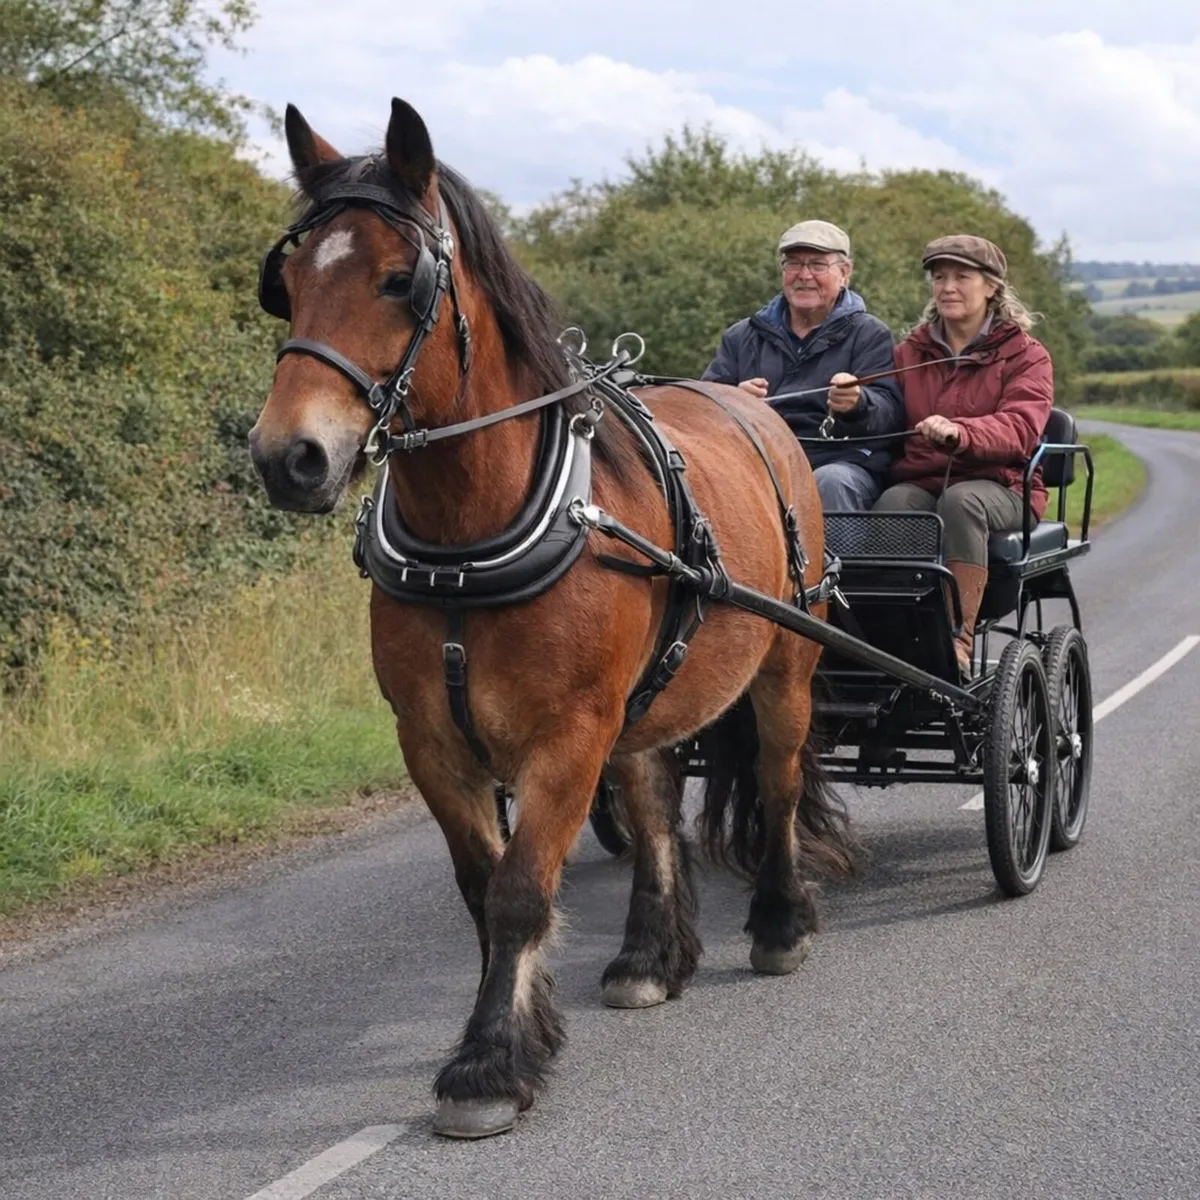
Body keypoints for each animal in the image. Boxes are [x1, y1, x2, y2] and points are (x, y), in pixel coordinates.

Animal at [248, 97, 855, 1139]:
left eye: (400, 280)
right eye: (284, 287)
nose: (289, 458)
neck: (468, 538)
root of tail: (757, 407)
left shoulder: (567, 733)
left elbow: (522, 893)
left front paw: (487, 1066)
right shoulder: (433, 740)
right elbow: (482, 888)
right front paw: (516, 1033)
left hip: (784, 663)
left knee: (776, 783)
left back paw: (780, 924)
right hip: (650, 695)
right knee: (654, 808)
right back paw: (650, 958)